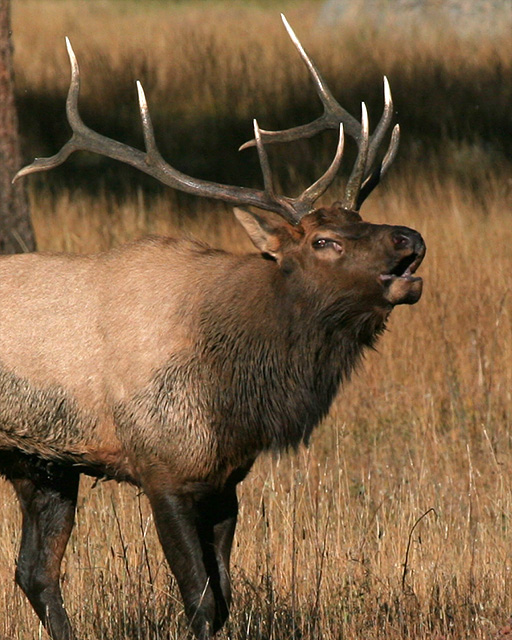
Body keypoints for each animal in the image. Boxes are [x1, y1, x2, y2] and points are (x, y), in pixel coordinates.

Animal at [0, 15, 425, 640]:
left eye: (360, 218)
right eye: (324, 241)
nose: (410, 238)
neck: (234, 386)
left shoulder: (225, 479)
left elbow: (224, 600)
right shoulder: (161, 466)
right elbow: (199, 601)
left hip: (43, 464)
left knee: (35, 573)